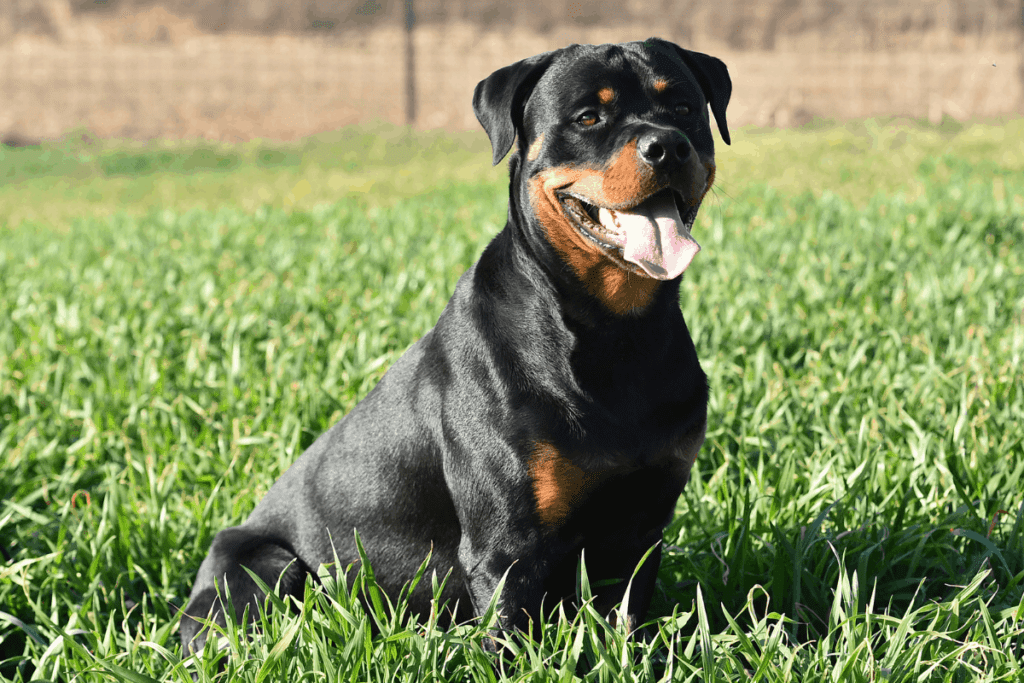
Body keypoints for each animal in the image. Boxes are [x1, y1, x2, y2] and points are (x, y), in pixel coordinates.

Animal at [182, 36, 729, 651]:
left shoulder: (640, 528)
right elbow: (512, 642)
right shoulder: (506, 547)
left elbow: (627, 627)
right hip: (263, 568)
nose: (668, 146)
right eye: (588, 117)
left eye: (684, 108)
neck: (618, 332)